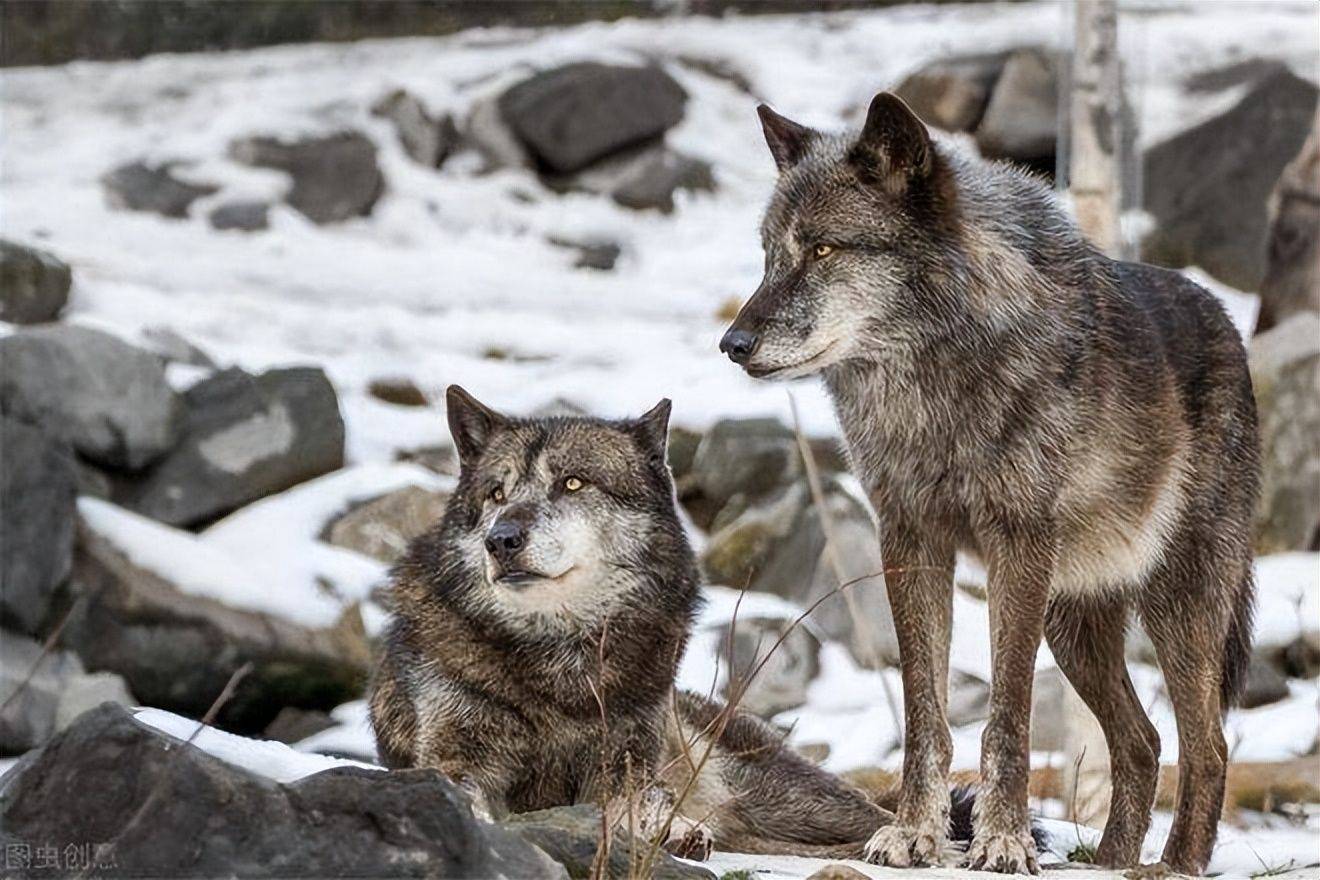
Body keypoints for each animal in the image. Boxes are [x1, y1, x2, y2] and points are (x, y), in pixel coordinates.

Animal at [366, 385, 1003, 860]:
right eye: (496, 494)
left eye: (572, 482)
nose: (501, 540)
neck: (560, 666)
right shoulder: (455, 759)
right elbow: (466, 798)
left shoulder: (626, 765)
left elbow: (628, 805)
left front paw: (658, 828)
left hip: (795, 799)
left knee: (881, 820)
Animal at [723, 89, 1256, 876]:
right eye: (768, 255)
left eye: (822, 249)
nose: (731, 344)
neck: (932, 390)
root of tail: (1228, 324)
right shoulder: (909, 539)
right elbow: (924, 710)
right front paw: (914, 834)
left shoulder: (1018, 545)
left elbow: (1007, 714)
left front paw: (1002, 839)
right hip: (1074, 625)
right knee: (1143, 742)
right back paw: (1104, 859)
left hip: (1178, 604)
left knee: (1208, 744)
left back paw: (1173, 864)